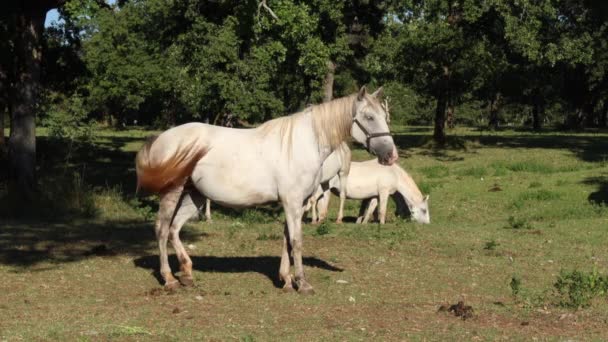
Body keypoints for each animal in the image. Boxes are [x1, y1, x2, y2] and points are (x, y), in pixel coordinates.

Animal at [135, 87, 396, 292]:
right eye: (369, 116)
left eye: (384, 116)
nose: (391, 156)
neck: (302, 144)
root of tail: (162, 138)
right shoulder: (292, 202)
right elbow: (297, 241)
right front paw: (302, 283)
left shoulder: (298, 203)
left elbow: (287, 239)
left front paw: (286, 280)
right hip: (173, 192)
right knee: (162, 229)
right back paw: (169, 279)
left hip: (194, 195)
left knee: (175, 229)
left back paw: (187, 274)